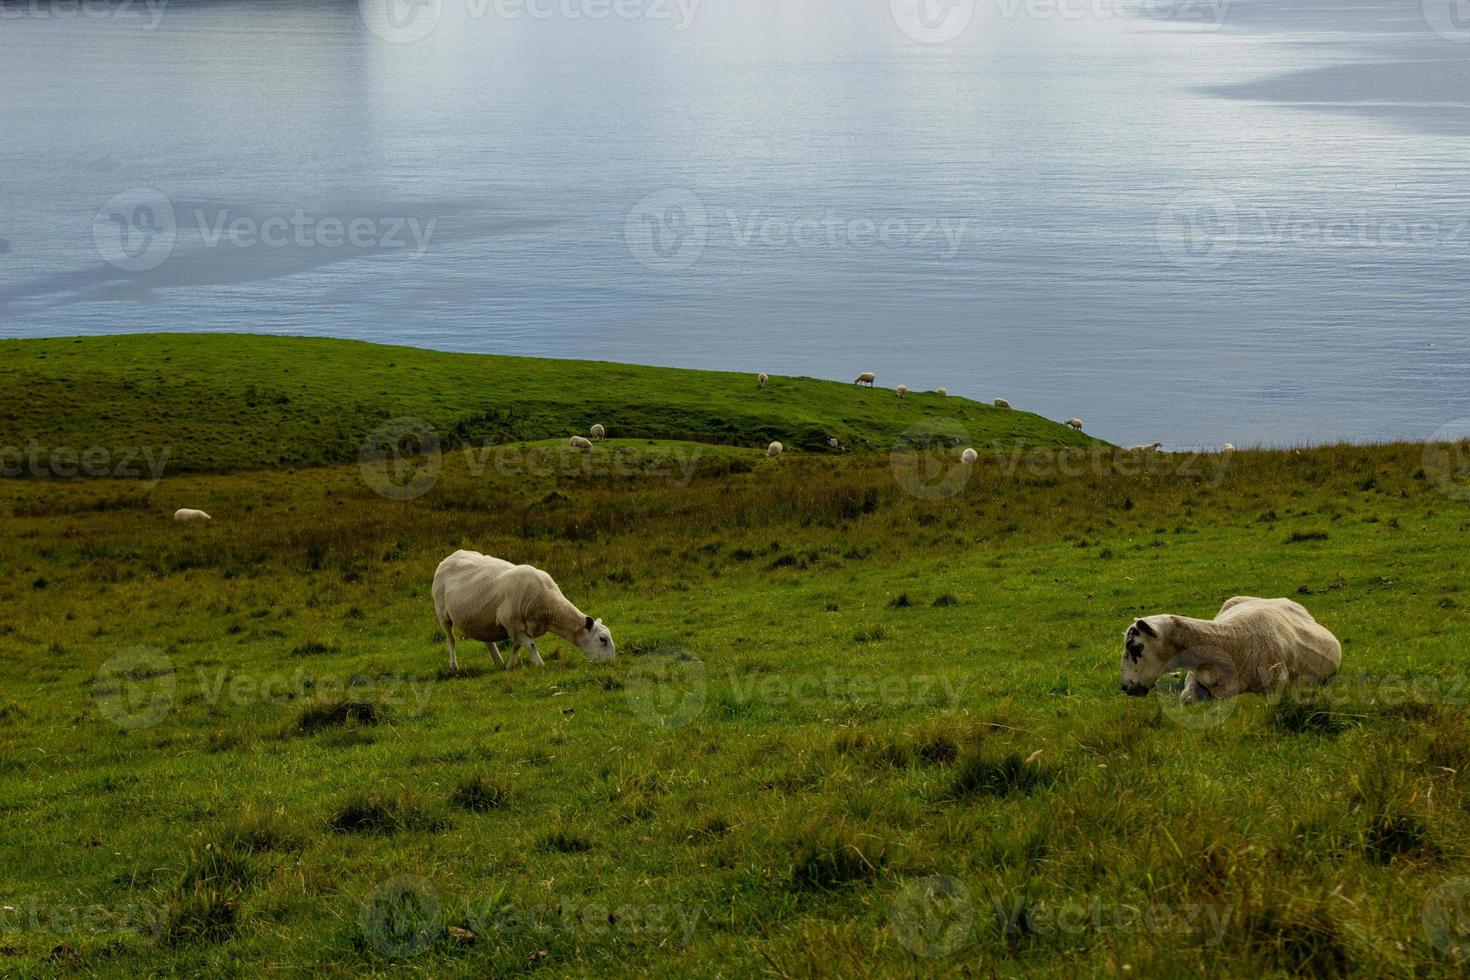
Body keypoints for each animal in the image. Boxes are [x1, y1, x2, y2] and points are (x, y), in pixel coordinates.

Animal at [429, 552, 614, 675]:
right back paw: (454, 666)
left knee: (487, 640)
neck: (547, 601)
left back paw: (498, 662)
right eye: (602, 639)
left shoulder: (518, 627)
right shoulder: (513, 623)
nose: (611, 663)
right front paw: (541, 665)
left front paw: (509, 666)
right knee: (451, 640)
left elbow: (516, 646)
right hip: (442, 613)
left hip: (480, 617)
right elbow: (530, 645)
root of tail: (450, 557)